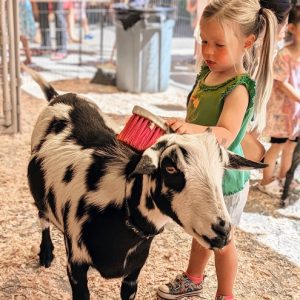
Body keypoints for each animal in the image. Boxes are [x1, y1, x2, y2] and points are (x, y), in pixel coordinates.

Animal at [27, 71, 264, 300]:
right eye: (170, 168)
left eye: (222, 170)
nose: (222, 231)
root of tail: (61, 96)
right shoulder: (76, 266)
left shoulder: (134, 271)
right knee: (42, 214)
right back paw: (46, 253)